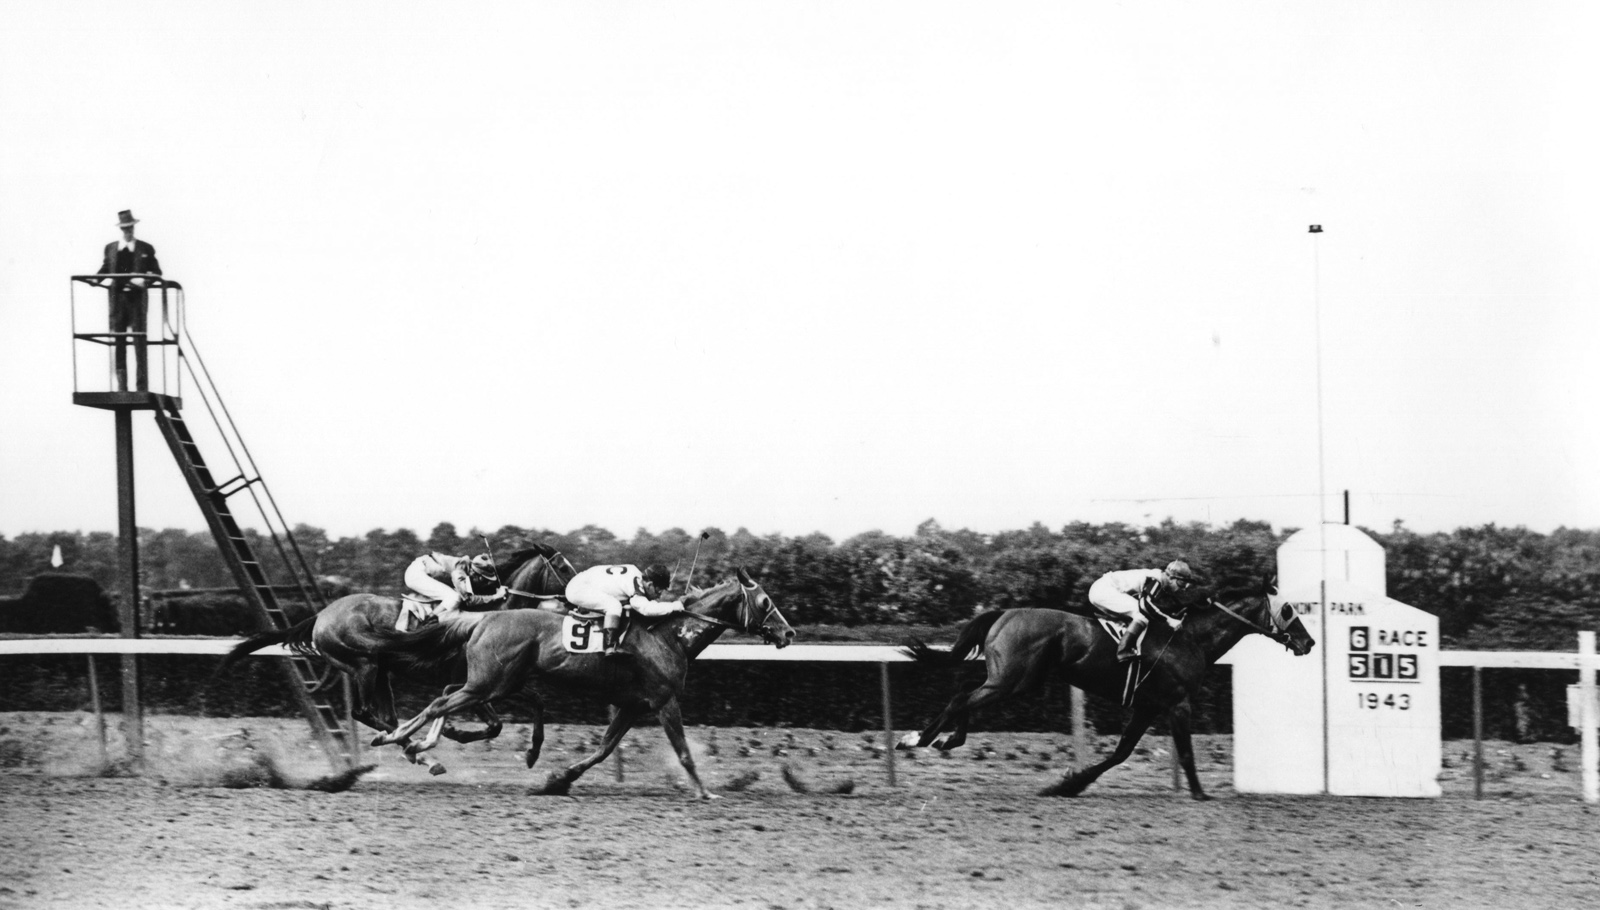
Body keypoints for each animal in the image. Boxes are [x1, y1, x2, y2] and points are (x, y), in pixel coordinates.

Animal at [360, 562, 790, 799]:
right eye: (766, 602)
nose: (788, 634)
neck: (670, 635)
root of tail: (484, 617)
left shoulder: (633, 705)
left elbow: (602, 750)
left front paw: (558, 781)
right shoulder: (664, 701)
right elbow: (683, 751)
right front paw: (704, 791)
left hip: (496, 681)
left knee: (448, 697)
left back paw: (418, 743)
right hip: (489, 682)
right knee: (439, 703)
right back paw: (398, 739)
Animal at [902, 578, 1312, 799]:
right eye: (1288, 609)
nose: (1308, 643)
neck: (1190, 639)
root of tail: (1004, 612)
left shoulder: (1148, 707)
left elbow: (1120, 753)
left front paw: (1067, 785)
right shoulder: (1178, 703)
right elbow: (1184, 752)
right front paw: (1199, 792)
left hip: (1015, 680)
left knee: (965, 694)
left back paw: (943, 738)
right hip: (1010, 680)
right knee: (962, 697)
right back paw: (918, 738)